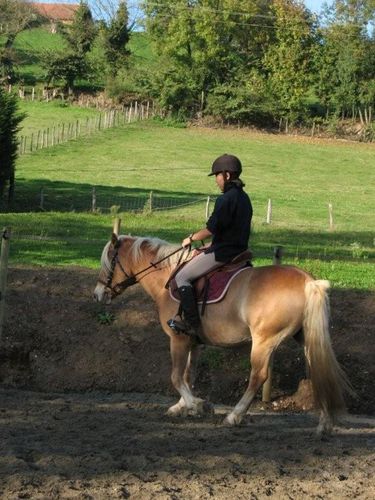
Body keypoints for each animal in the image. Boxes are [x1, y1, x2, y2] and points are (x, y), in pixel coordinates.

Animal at [92, 234, 352, 434]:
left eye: (109, 261)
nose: (97, 295)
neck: (167, 278)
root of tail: (308, 281)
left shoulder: (178, 338)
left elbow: (176, 376)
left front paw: (196, 405)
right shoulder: (194, 341)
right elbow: (188, 374)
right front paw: (182, 406)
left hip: (264, 341)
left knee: (259, 375)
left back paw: (234, 416)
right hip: (306, 337)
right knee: (318, 370)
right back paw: (325, 424)